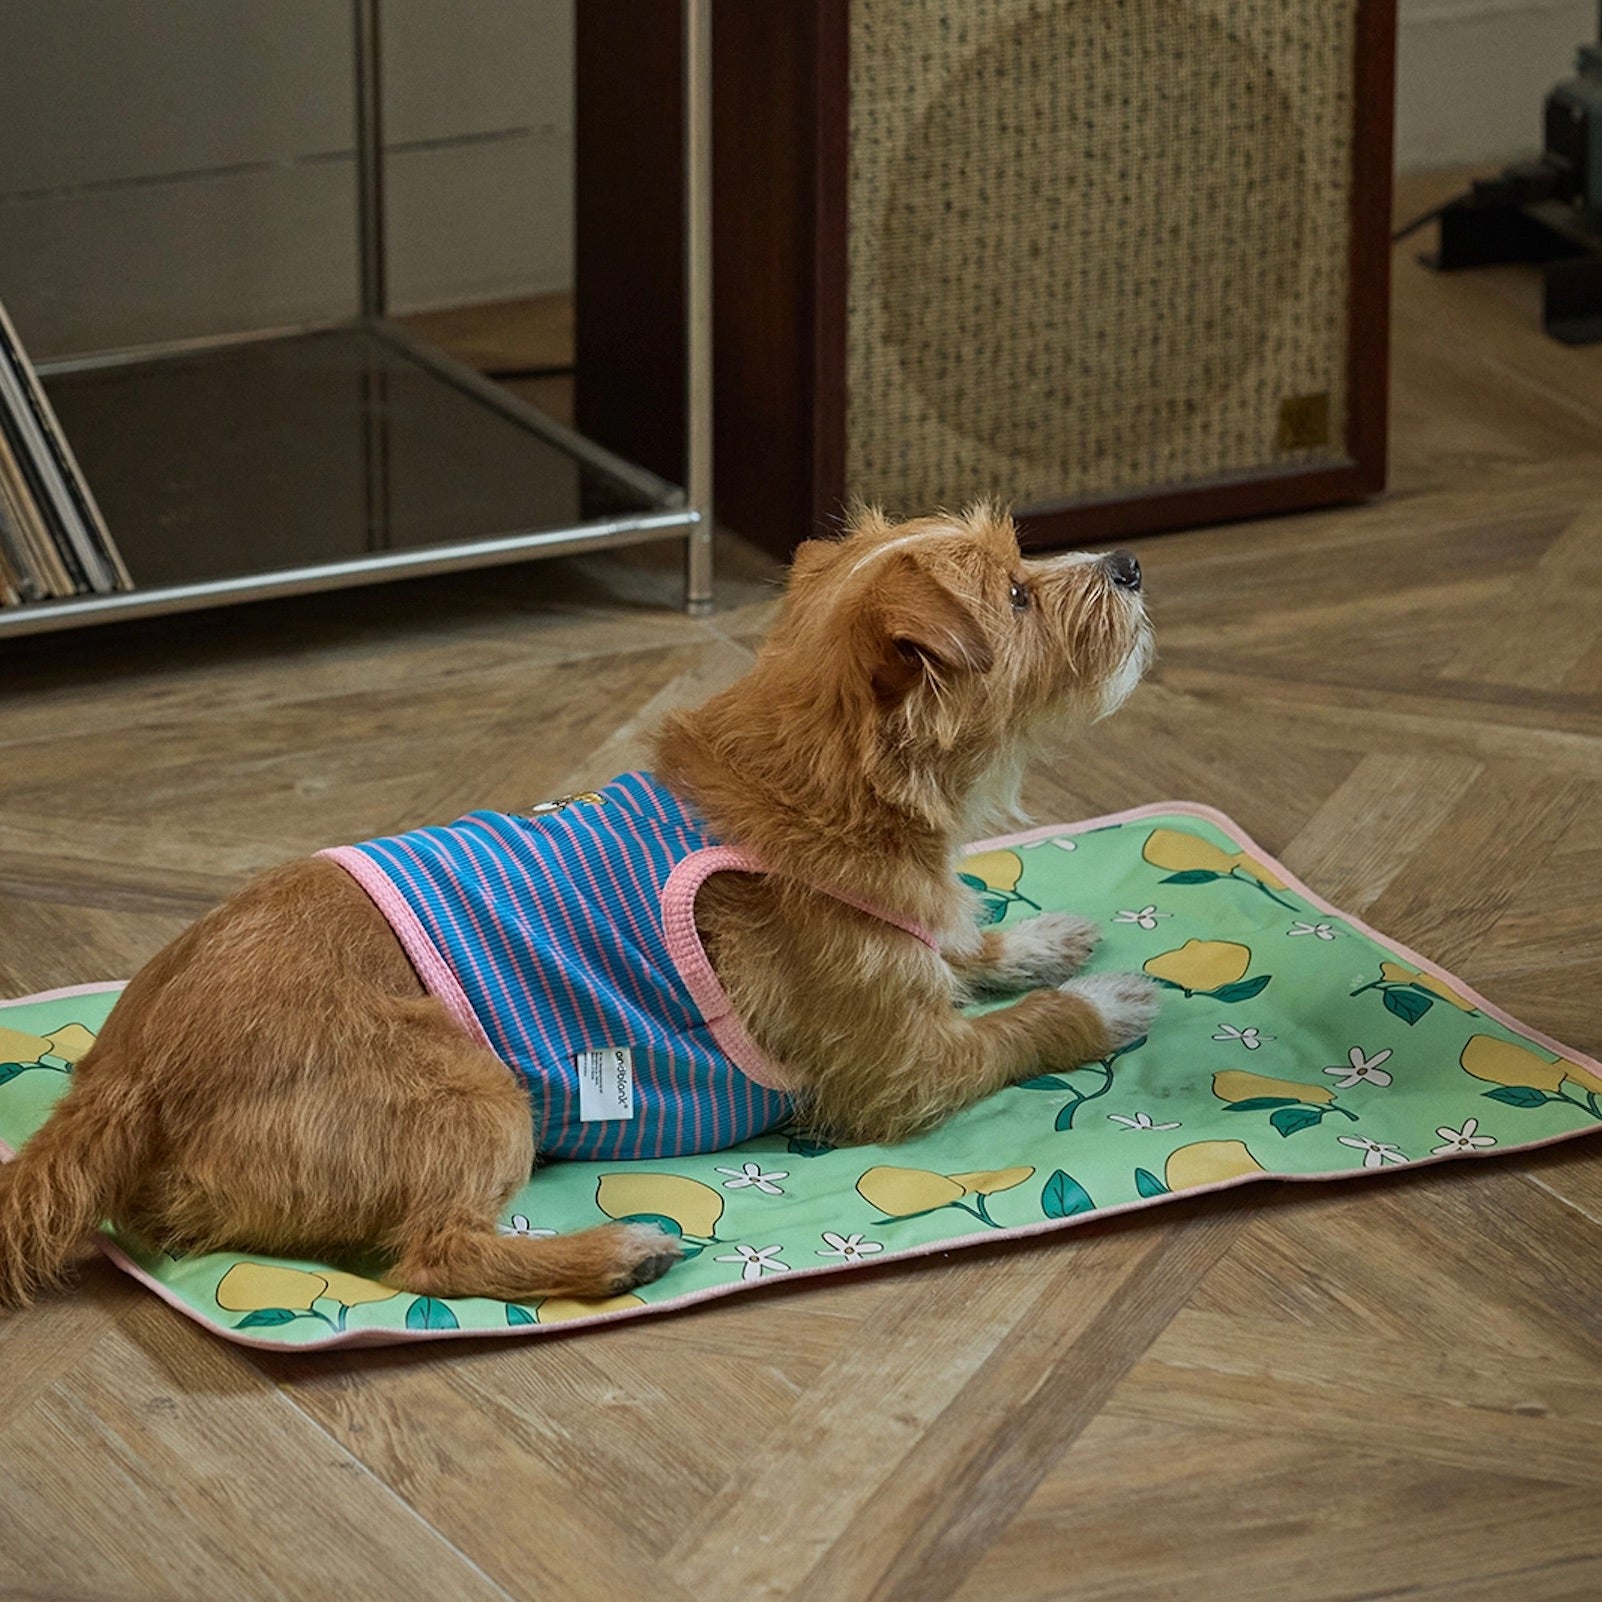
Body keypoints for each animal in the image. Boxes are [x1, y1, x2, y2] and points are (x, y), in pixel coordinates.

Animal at [0, 505, 1159, 1309]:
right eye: (1017, 595)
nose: (1132, 564)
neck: (821, 783)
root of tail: (121, 1072)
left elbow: (963, 943)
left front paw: (1036, 936)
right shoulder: (900, 1080)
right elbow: (1015, 1032)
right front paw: (1099, 1003)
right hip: (476, 1093)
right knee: (432, 1256)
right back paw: (610, 1254)